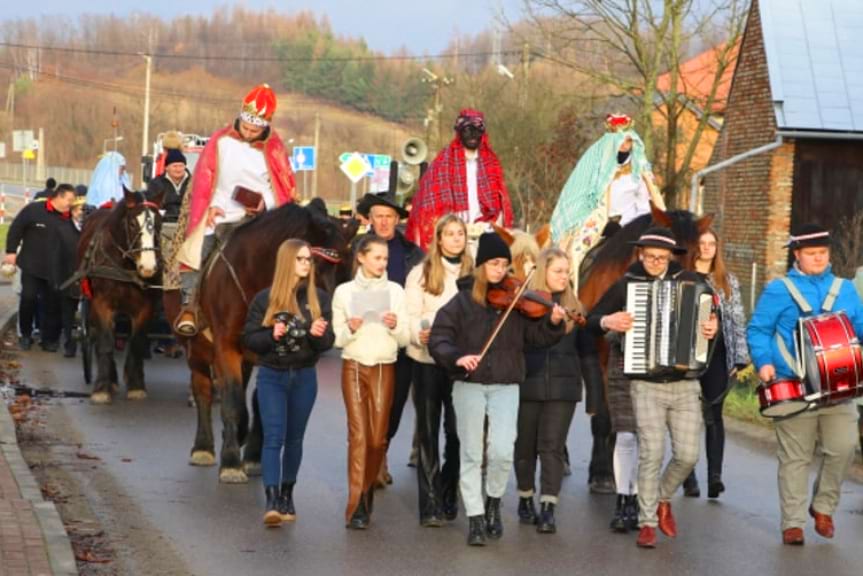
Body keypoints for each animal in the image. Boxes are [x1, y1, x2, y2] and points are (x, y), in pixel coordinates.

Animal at [77, 189, 165, 404]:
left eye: (159, 224)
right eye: (133, 224)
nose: (148, 267)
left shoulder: (145, 308)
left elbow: (136, 343)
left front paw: (136, 385)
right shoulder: (101, 304)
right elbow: (105, 342)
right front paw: (102, 387)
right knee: (100, 336)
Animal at [165, 200, 358, 484]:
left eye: (346, 263)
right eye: (310, 263)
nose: (326, 323)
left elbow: (259, 403)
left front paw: (253, 456)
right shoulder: (225, 346)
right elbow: (232, 402)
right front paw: (231, 462)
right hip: (196, 349)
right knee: (203, 391)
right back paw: (203, 447)